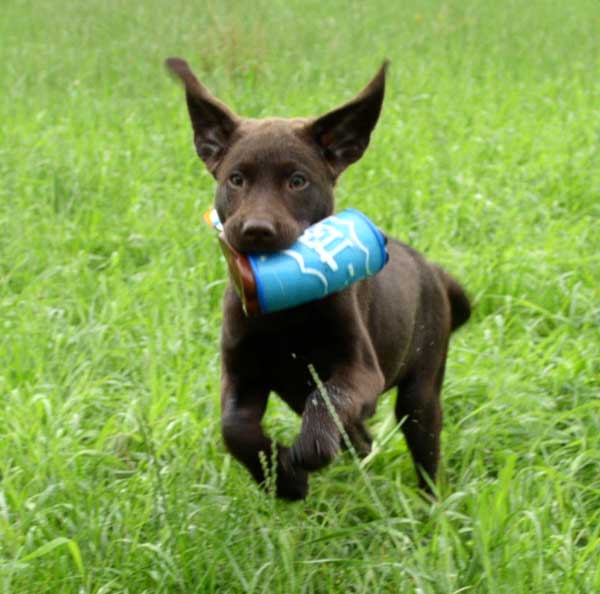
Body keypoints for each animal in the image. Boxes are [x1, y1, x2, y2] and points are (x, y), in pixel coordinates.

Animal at [166, 57, 472, 498]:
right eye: (236, 179)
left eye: (298, 181)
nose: (256, 230)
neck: (285, 313)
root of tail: (433, 271)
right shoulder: (241, 373)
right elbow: (234, 428)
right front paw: (283, 480)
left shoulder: (361, 371)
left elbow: (329, 400)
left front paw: (304, 455)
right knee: (360, 437)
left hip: (422, 386)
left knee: (422, 446)